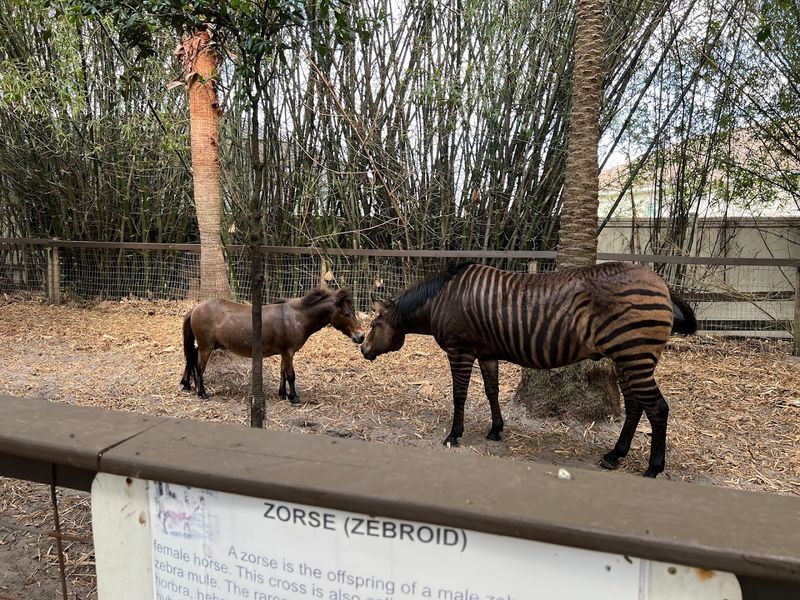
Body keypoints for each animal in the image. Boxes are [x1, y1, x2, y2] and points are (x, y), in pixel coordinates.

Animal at [360, 261, 697, 478]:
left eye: (374, 325)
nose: (362, 348)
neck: (441, 298)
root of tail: (661, 282)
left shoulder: (460, 351)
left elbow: (459, 394)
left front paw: (454, 435)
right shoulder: (486, 353)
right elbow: (492, 391)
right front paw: (496, 429)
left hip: (633, 354)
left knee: (657, 407)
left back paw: (653, 468)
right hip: (625, 358)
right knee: (635, 405)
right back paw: (615, 455)